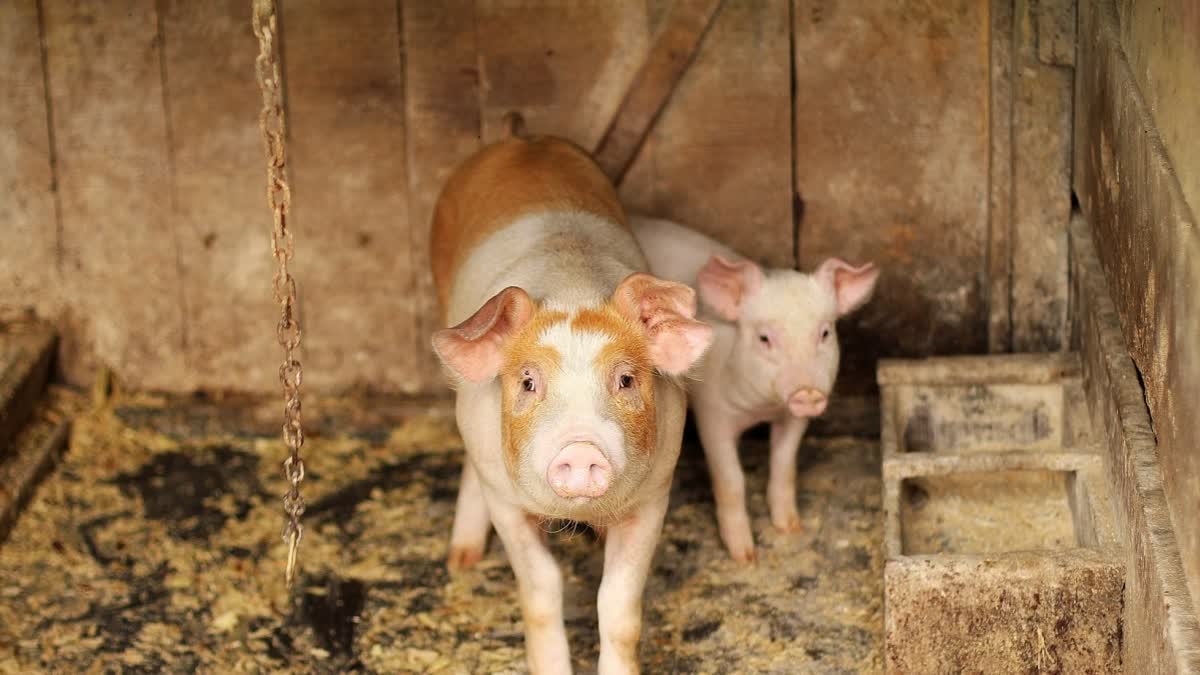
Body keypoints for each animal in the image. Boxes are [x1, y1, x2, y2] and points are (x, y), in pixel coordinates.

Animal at [430, 136, 713, 673]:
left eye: (625, 379)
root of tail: (523, 139)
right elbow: (542, 590)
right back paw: (461, 560)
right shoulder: (505, 500)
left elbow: (618, 605)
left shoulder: (655, 494)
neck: (571, 288)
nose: (581, 449)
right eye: (527, 382)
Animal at [631, 216, 879, 563]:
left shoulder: (792, 417)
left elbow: (784, 464)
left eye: (825, 333)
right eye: (764, 338)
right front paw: (745, 557)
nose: (807, 392)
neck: (761, 408)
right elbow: (731, 479)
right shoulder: (712, 414)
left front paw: (790, 528)